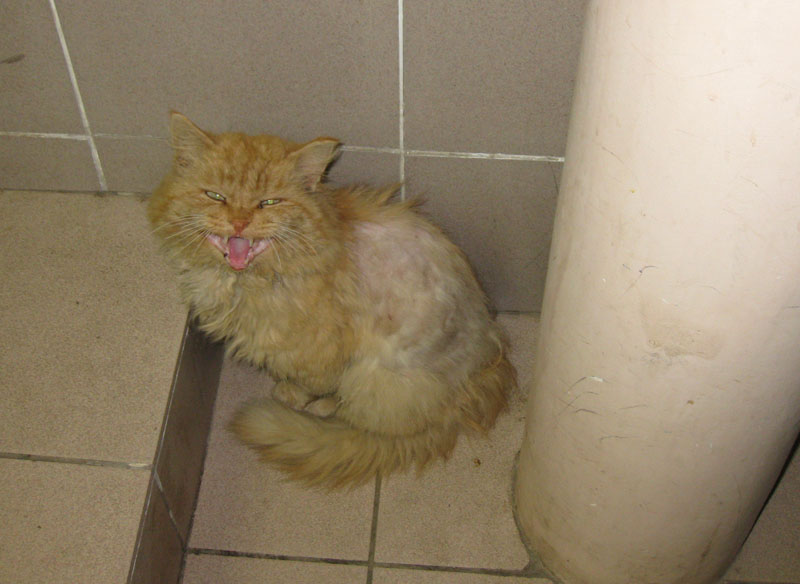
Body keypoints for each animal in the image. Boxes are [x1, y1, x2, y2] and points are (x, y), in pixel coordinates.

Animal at [148, 112, 517, 488]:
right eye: (215, 196)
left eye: (268, 202)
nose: (239, 222)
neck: (248, 281)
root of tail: (483, 374)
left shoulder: (319, 352)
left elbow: (310, 384)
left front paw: (293, 395)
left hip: (376, 376)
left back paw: (323, 411)